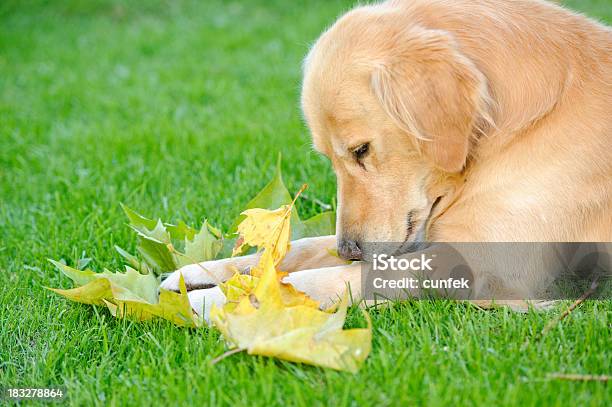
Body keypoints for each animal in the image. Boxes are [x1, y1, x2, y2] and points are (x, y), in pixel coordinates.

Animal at [160, 0, 608, 318]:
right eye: (328, 158)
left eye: (361, 150)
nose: (350, 250)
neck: (520, 127)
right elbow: (297, 248)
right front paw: (199, 274)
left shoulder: (481, 265)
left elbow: (318, 280)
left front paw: (213, 302)